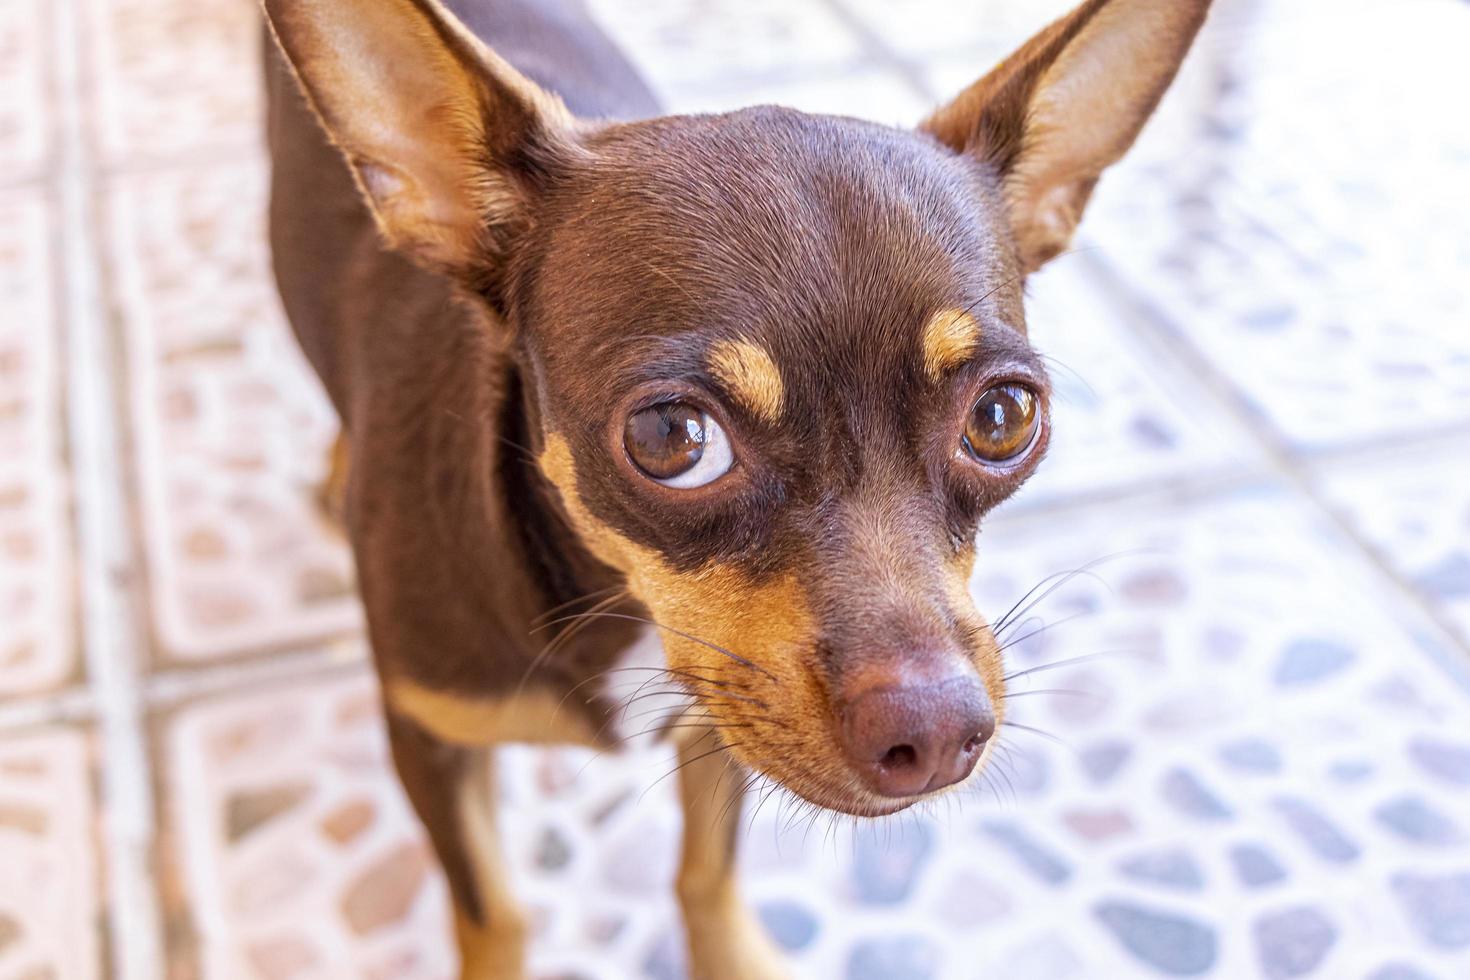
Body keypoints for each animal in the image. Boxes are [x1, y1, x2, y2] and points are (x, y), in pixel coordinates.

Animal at [261, 0, 1205, 975]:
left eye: (1003, 418)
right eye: (672, 438)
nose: (938, 732)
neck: (615, 595)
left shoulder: (721, 717)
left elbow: (706, 873)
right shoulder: (433, 745)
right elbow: (495, 913)